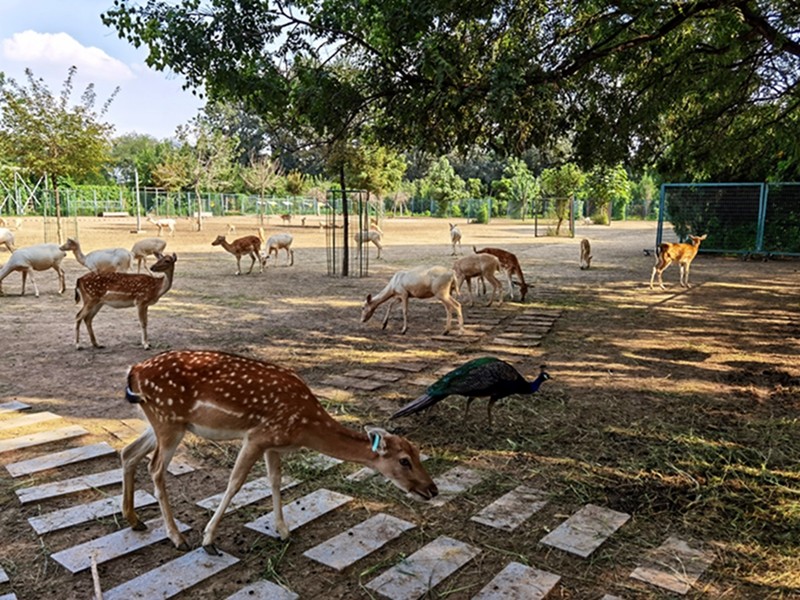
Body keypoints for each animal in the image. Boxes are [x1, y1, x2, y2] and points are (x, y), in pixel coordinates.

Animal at [121, 350, 438, 555]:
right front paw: (209, 540)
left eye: (418, 454)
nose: (432, 489)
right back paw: (176, 538)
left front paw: (284, 532)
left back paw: (135, 521)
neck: (305, 425)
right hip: (168, 420)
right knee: (155, 469)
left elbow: (275, 482)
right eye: (405, 461)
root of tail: (133, 371)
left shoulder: (273, 443)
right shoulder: (257, 436)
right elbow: (234, 484)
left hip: (159, 421)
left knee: (128, 452)